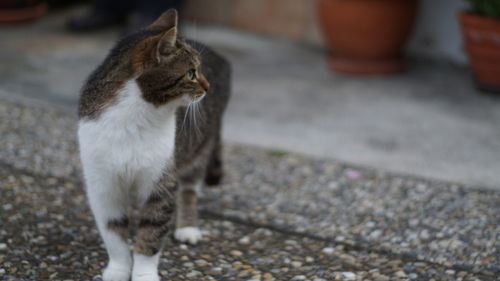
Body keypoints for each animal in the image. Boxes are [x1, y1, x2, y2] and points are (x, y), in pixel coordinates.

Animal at [76, 8, 230, 280]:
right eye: (191, 73)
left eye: (199, 70)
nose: (207, 86)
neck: (134, 117)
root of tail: (221, 57)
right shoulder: (103, 183)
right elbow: (113, 232)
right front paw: (118, 269)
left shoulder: (161, 180)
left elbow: (152, 233)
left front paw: (144, 273)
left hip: (198, 149)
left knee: (189, 188)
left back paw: (188, 227)